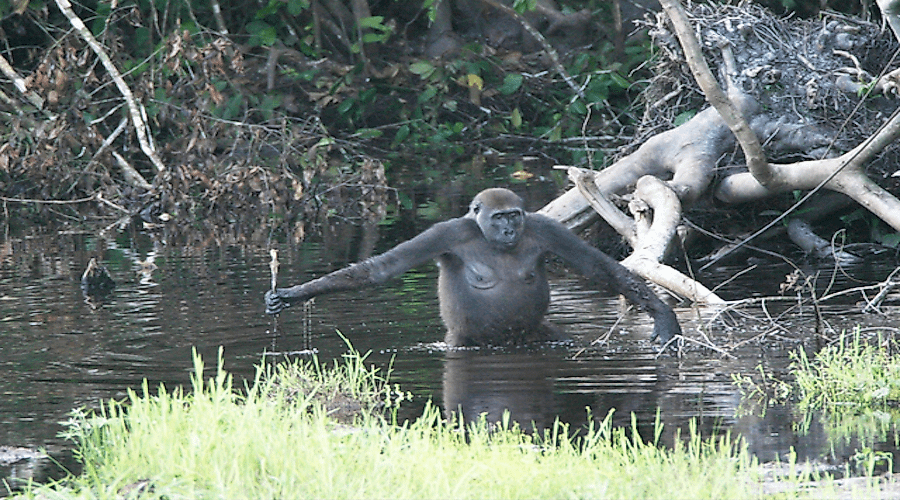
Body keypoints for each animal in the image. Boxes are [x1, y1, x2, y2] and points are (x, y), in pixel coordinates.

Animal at [268, 188, 684, 348]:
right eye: (499, 217)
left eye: (514, 215)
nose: (509, 228)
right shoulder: (444, 233)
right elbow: (382, 268)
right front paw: (295, 294)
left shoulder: (545, 228)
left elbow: (599, 268)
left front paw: (664, 318)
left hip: (536, 336)